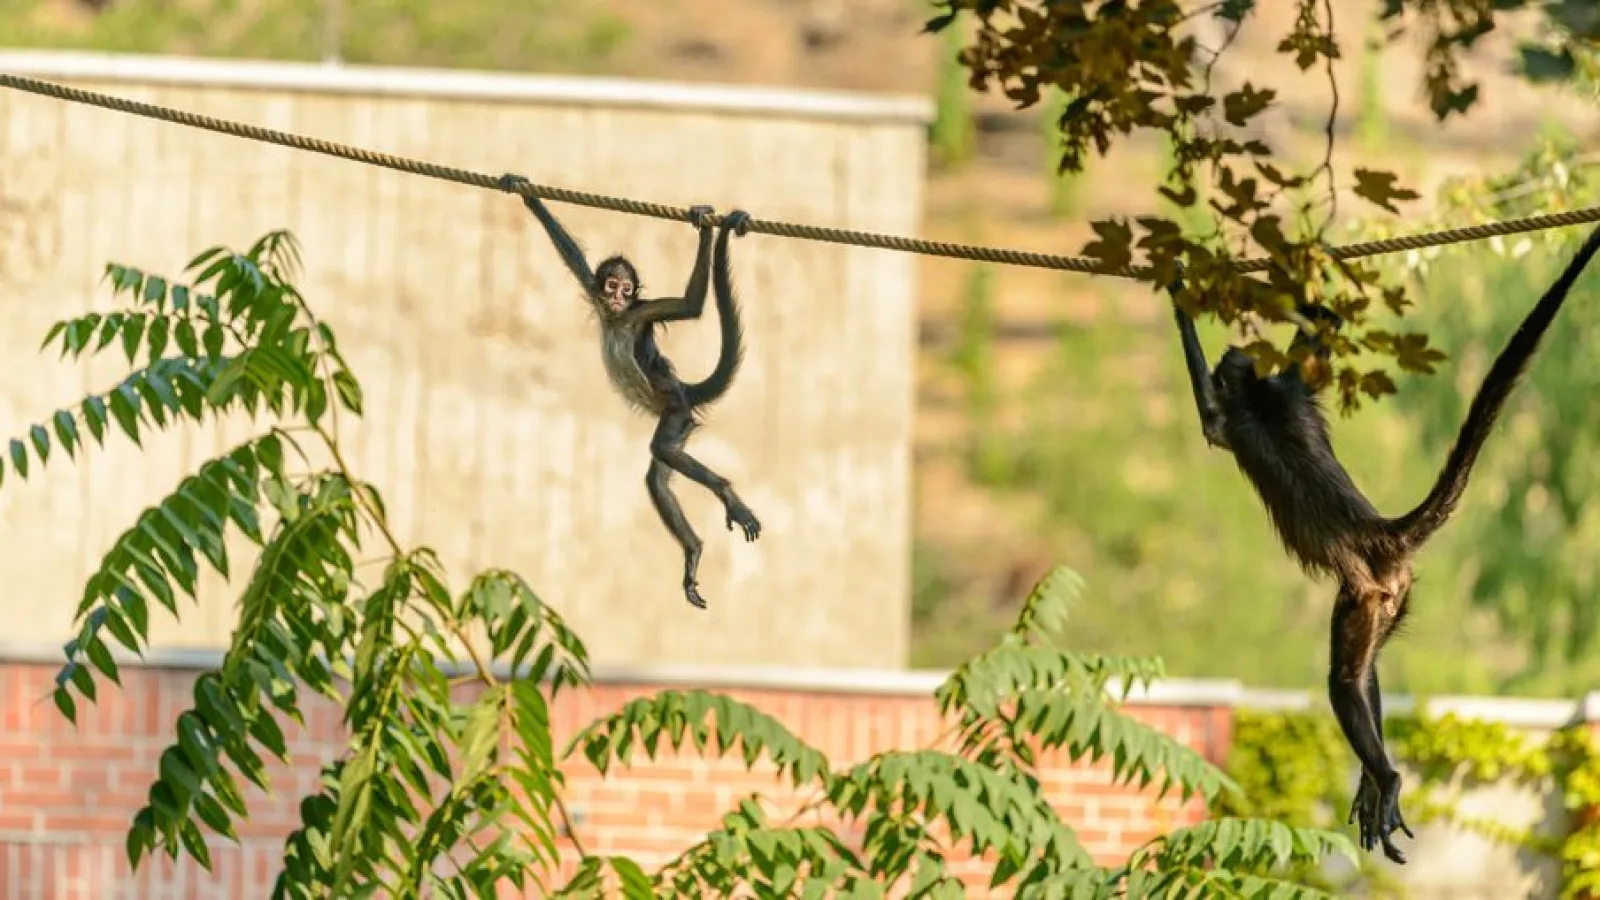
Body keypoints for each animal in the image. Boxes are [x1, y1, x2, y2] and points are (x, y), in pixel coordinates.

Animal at [498, 173, 761, 610]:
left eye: (626, 289)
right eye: (610, 285)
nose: (617, 297)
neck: (618, 318)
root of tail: (681, 390)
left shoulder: (641, 312)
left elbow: (691, 306)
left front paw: (703, 224)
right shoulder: (593, 289)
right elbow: (569, 251)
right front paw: (522, 189)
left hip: (676, 413)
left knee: (663, 449)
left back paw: (725, 493)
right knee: (657, 476)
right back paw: (693, 550)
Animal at [1165, 223, 1600, 864]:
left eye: (1228, 368)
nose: (1233, 359)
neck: (1263, 395)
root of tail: (1381, 532)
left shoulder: (1238, 417)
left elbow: (1210, 416)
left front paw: (1177, 288)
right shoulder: (1291, 384)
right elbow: (1323, 327)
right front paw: (1306, 263)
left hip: (1364, 594)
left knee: (1343, 681)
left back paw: (1387, 778)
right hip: (1395, 597)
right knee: (1367, 670)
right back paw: (1375, 782)